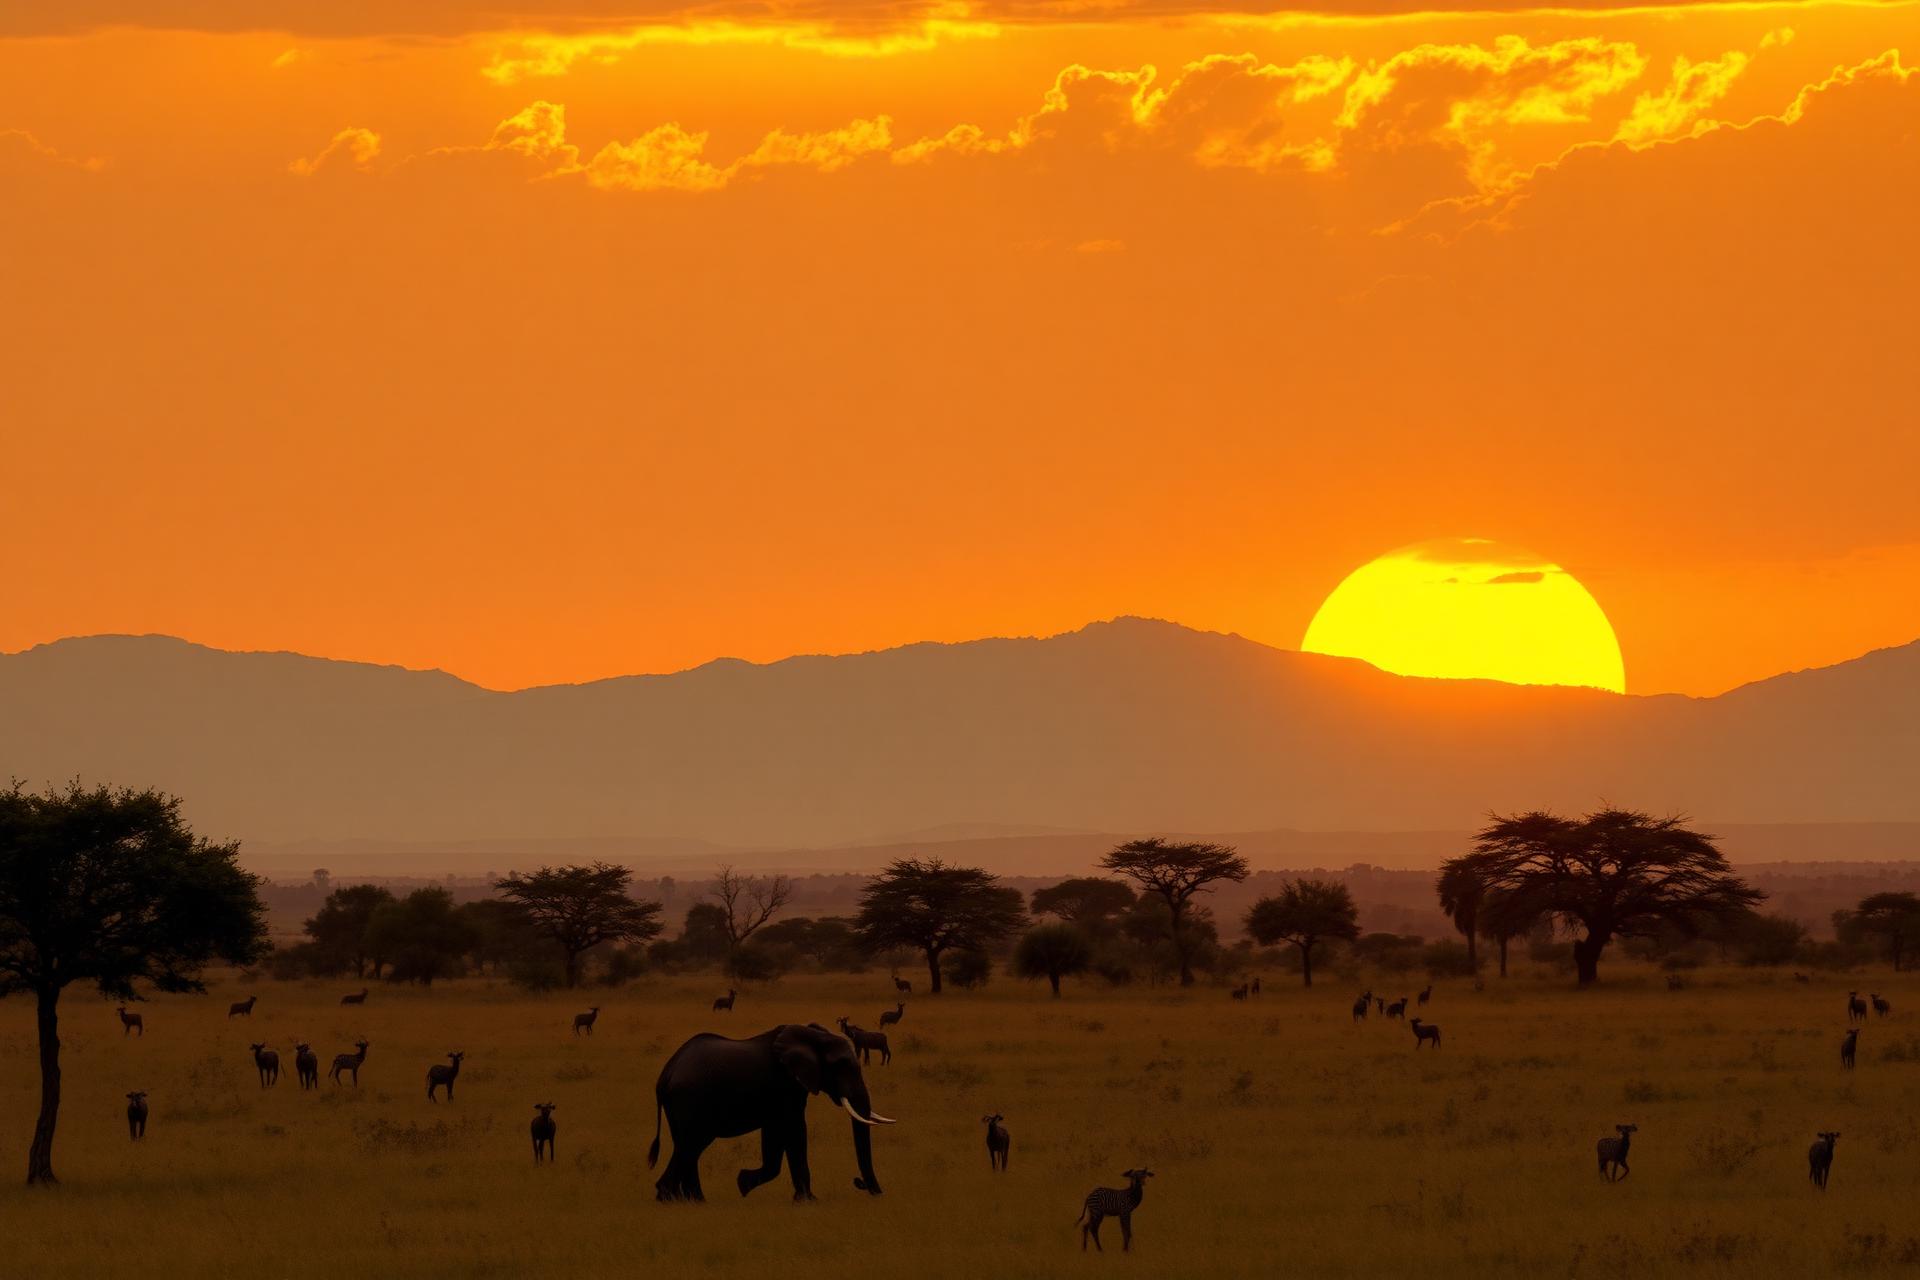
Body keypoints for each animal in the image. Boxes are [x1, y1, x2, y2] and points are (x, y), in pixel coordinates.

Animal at [648, 1023, 896, 1202]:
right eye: (841, 1065)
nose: (860, 1184)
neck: (812, 1035)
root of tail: (665, 1075)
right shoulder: (784, 1086)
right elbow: (795, 1131)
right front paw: (808, 1201)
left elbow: (774, 1136)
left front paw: (743, 1184)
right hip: (690, 1101)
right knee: (691, 1145)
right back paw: (668, 1197)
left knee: (687, 1147)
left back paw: (693, 1200)